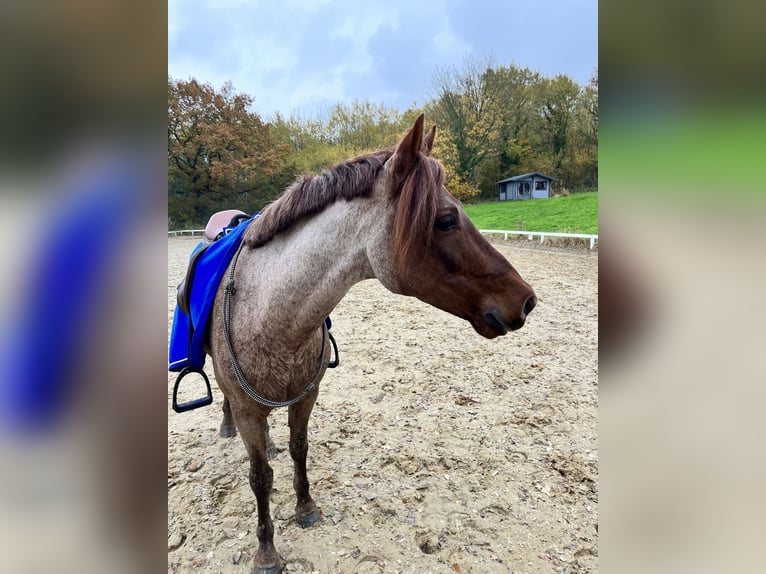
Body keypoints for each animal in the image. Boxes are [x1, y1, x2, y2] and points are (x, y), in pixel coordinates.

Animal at [207, 115, 536, 572]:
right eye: (446, 219)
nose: (526, 300)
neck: (269, 313)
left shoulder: (306, 398)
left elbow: (298, 448)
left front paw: (305, 506)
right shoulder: (246, 409)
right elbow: (259, 478)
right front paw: (267, 551)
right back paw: (226, 427)